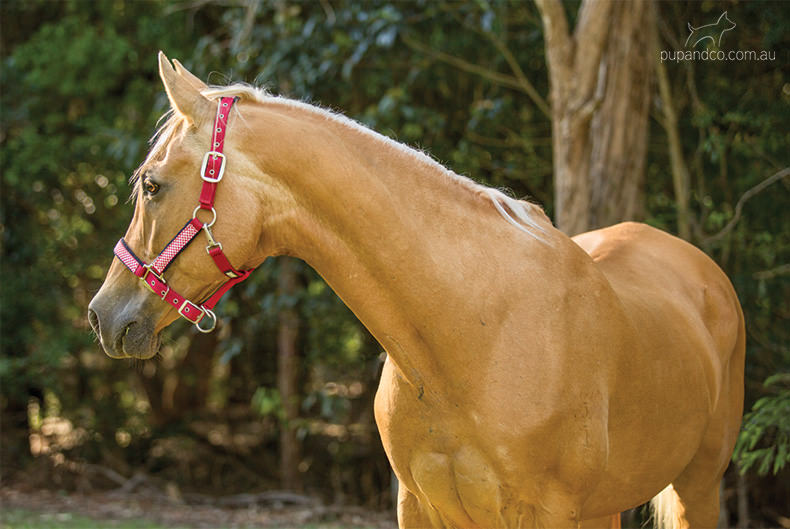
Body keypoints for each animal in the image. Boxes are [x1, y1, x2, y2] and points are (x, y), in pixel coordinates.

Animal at [89, 54, 744, 528]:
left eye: (151, 184)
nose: (102, 315)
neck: (472, 336)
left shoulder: (550, 514)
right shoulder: (419, 506)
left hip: (699, 486)